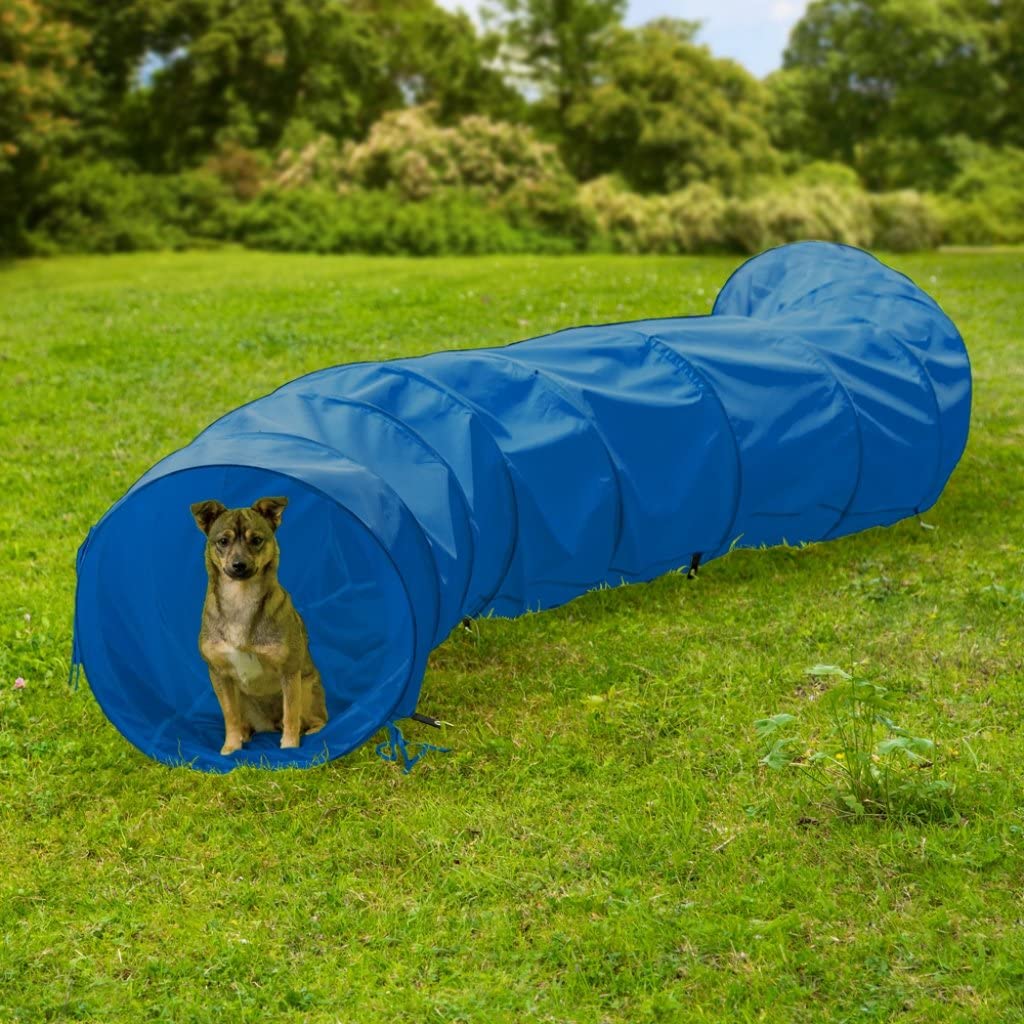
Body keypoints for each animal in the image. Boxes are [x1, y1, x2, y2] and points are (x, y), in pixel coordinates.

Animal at [188, 495, 323, 753]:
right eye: (223, 541)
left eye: (257, 540)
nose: (239, 564)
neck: (240, 599)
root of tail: (270, 725)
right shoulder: (219, 675)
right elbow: (230, 716)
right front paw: (231, 748)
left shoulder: (289, 672)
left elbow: (291, 714)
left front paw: (290, 747)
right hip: (243, 699)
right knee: (242, 720)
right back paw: (244, 734)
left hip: (307, 690)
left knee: (314, 718)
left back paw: (312, 731)